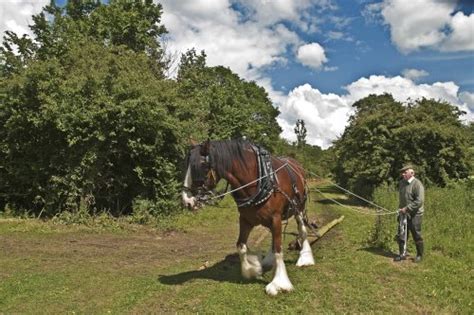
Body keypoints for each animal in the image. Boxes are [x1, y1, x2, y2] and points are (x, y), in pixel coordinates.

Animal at [181, 139, 314, 296]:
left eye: (201, 166)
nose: (186, 201)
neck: (258, 180)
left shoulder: (275, 218)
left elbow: (278, 249)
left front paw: (279, 283)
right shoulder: (245, 220)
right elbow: (241, 246)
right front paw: (252, 269)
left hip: (299, 207)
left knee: (302, 230)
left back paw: (305, 258)